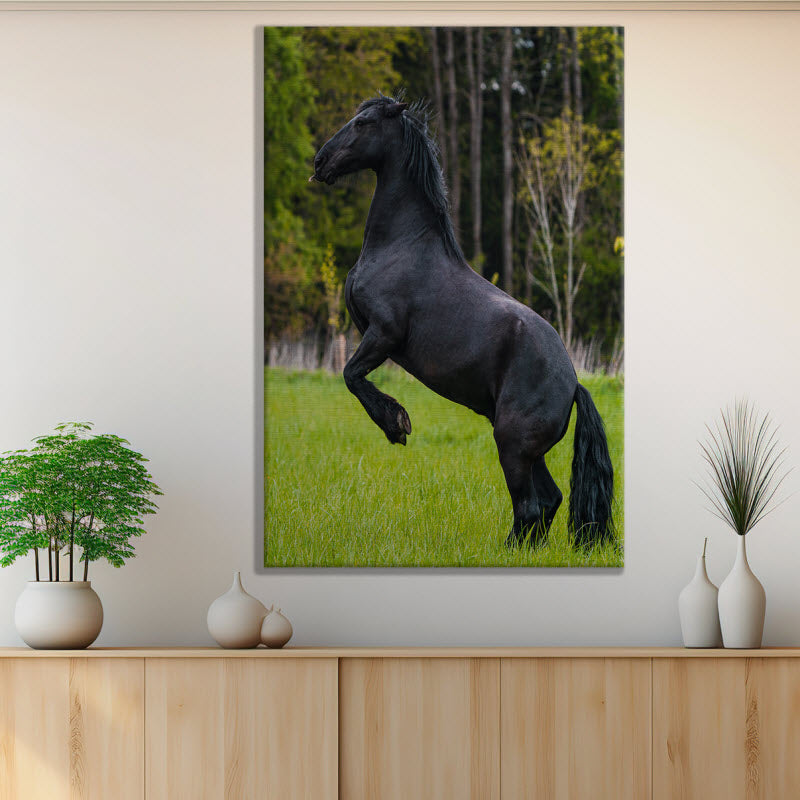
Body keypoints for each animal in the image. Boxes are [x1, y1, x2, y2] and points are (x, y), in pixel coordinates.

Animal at [310, 94, 614, 549]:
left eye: (362, 123)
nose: (320, 161)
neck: (401, 245)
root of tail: (574, 383)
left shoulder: (383, 334)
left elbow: (351, 375)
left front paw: (396, 424)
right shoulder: (371, 334)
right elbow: (352, 375)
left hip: (512, 444)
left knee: (530, 506)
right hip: (528, 451)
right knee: (548, 502)